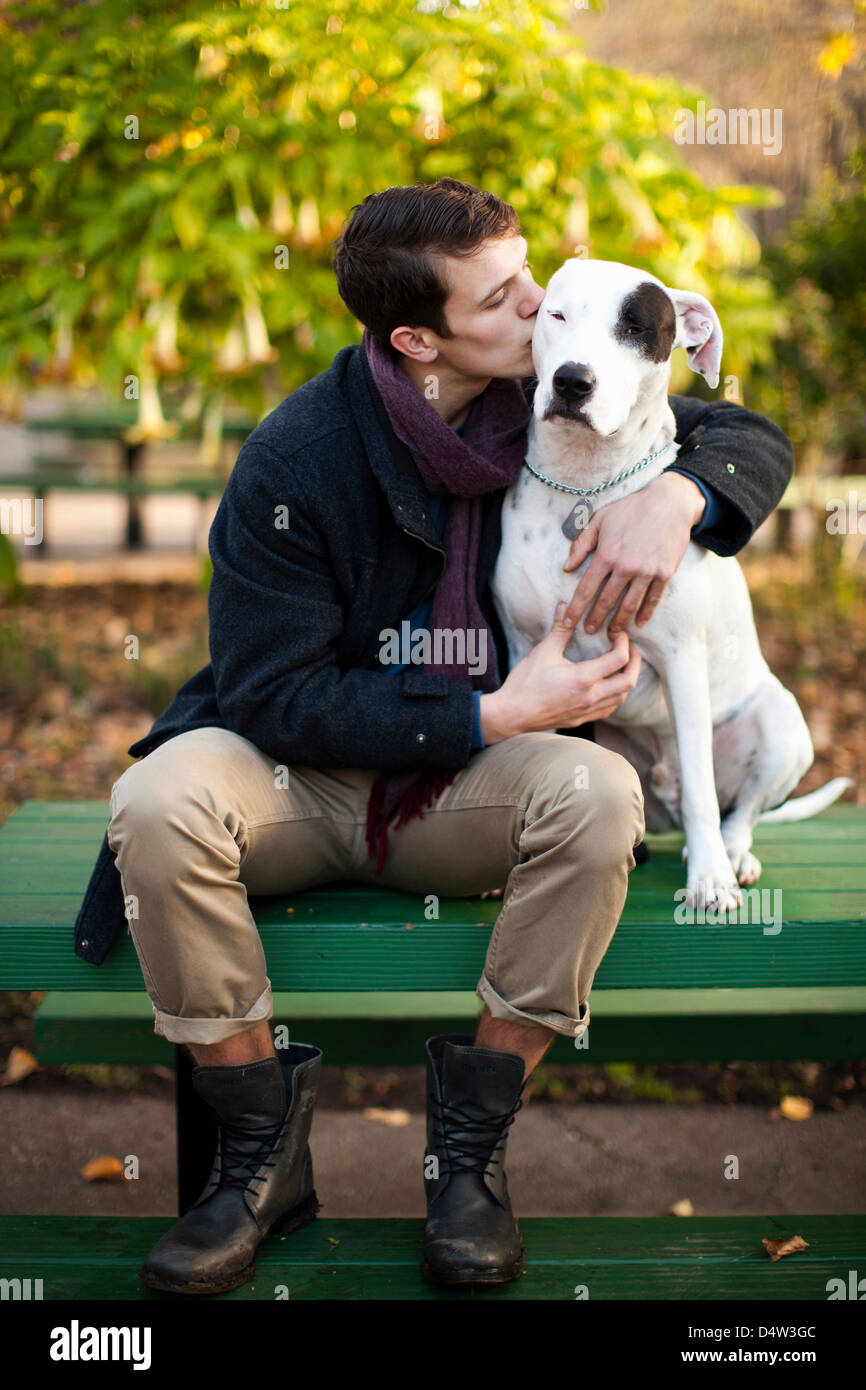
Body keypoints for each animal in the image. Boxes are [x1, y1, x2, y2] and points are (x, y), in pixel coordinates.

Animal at [492, 259, 850, 911]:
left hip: (781, 724)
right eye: (556, 314)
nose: (572, 381)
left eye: (635, 328)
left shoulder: (682, 658)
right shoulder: (526, 655)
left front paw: (710, 880)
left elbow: (708, 794)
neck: (586, 483)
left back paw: (731, 855)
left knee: (734, 808)